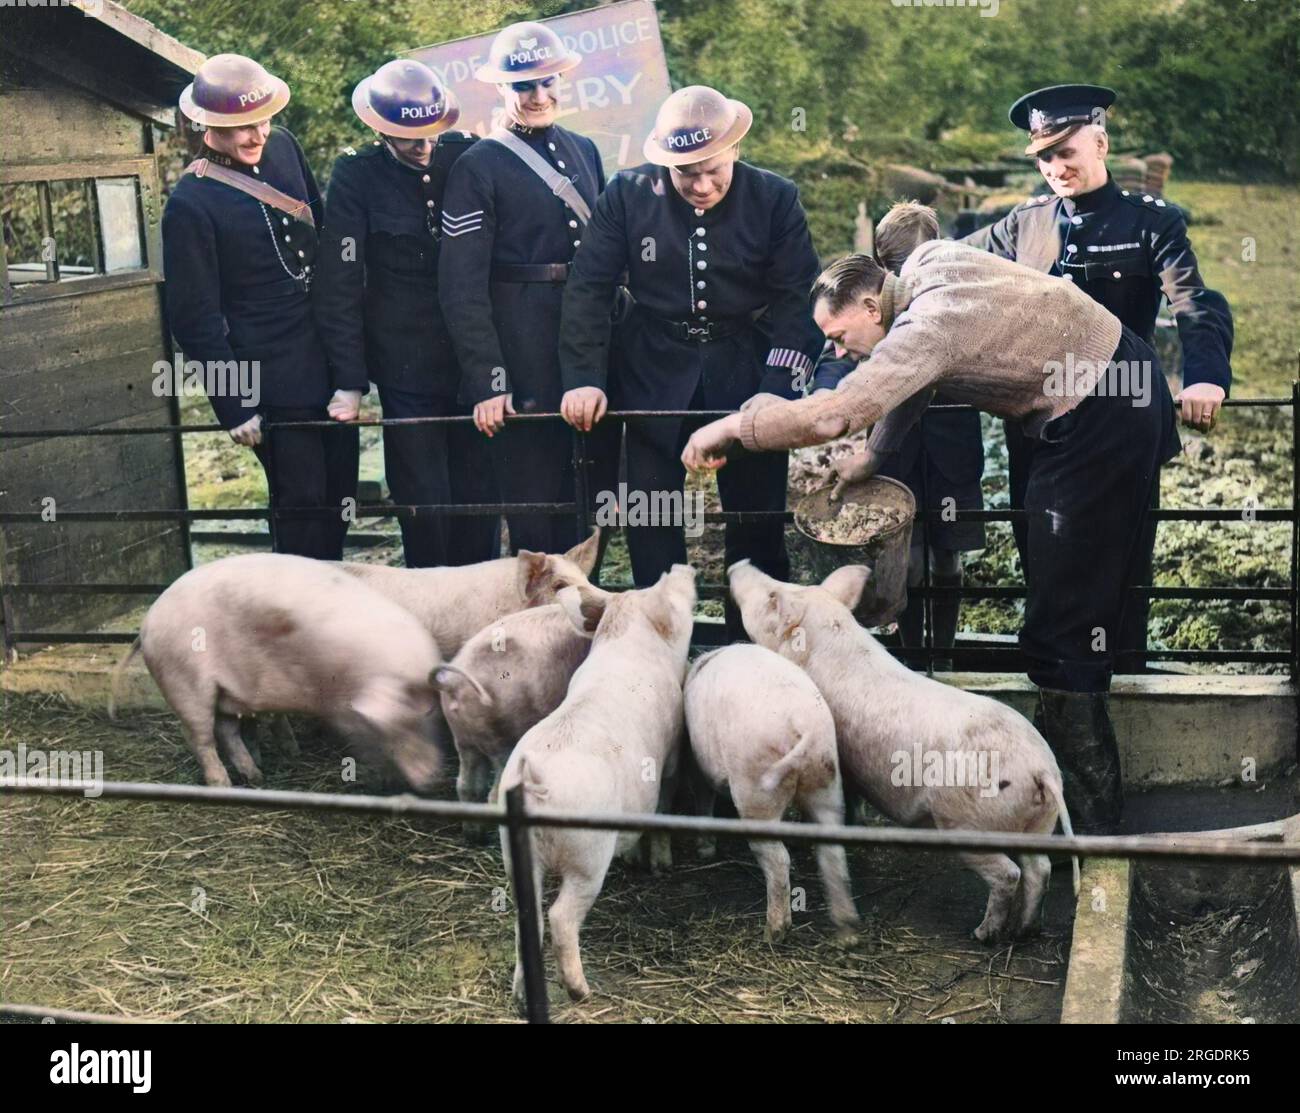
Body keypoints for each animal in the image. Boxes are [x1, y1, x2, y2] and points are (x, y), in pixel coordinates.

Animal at [107, 551, 441, 785]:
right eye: (404, 721)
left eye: (429, 717)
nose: (433, 777)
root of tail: (146, 626)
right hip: (185, 683)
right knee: (199, 738)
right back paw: (223, 785)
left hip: (223, 689)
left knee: (226, 730)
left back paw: (256, 776)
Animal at [499, 564, 702, 1008]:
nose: (684, 568)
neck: (625, 636)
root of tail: (536, 778)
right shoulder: (671, 754)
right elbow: (664, 801)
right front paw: (660, 865)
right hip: (587, 855)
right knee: (559, 917)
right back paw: (581, 992)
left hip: (513, 851)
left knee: (528, 917)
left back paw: (522, 996)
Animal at [686, 639, 857, 941]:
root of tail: (806, 727)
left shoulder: (698, 766)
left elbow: (703, 798)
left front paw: (705, 851)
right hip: (827, 780)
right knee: (833, 851)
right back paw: (847, 934)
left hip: (755, 787)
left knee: (778, 858)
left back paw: (773, 933)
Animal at [728, 561, 1081, 941]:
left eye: (772, 596)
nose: (739, 565)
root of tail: (1040, 769)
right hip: (1039, 822)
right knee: (1040, 868)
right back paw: (1025, 930)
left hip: (966, 824)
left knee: (1009, 873)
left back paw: (982, 934)